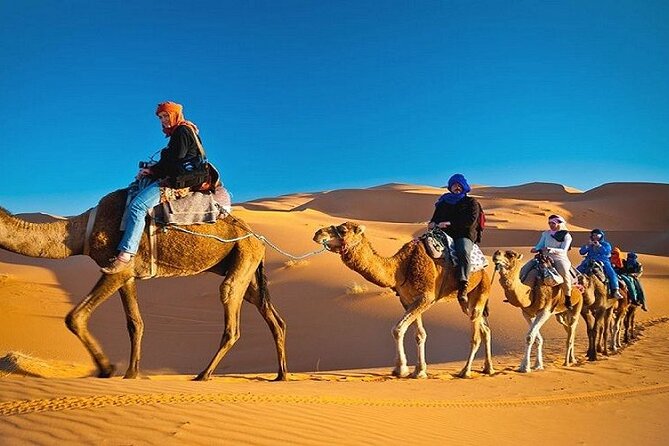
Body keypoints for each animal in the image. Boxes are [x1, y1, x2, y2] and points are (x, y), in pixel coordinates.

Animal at [0, 189, 287, 381]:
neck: (79, 233)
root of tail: (258, 237)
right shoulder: (127, 276)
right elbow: (135, 323)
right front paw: (131, 373)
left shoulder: (116, 268)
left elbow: (75, 316)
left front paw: (107, 369)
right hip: (247, 266)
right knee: (271, 315)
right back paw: (281, 375)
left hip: (243, 256)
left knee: (231, 312)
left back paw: (203, 374)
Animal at [313, 222, 494, 379]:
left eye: (343, 230)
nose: (317, 234)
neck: (400, 268)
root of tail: (485, 268)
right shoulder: (409, 300)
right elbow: (420, 334)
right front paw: (419, 371)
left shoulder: (426, 297)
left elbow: (397, 329)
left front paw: (401, 369)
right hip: (466, 301)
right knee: (484, 328)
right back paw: (488, 368)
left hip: (481, 290)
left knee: (476, 334)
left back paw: (466, 371)